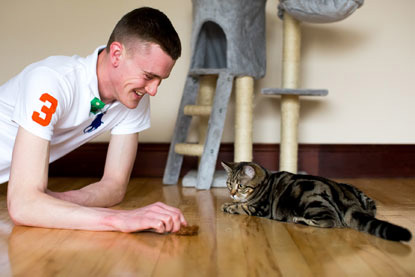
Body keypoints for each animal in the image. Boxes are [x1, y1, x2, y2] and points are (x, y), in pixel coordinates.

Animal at [221, 161, 412, 240]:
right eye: (229, 184)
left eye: (240, 186)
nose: (231, 193)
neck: (265, 181)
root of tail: (347, 198)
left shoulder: (261, 207)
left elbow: (242, 206)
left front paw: (229, 205)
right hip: (362, 197)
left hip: (312, 201)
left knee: (332, 222)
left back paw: (300, 220)